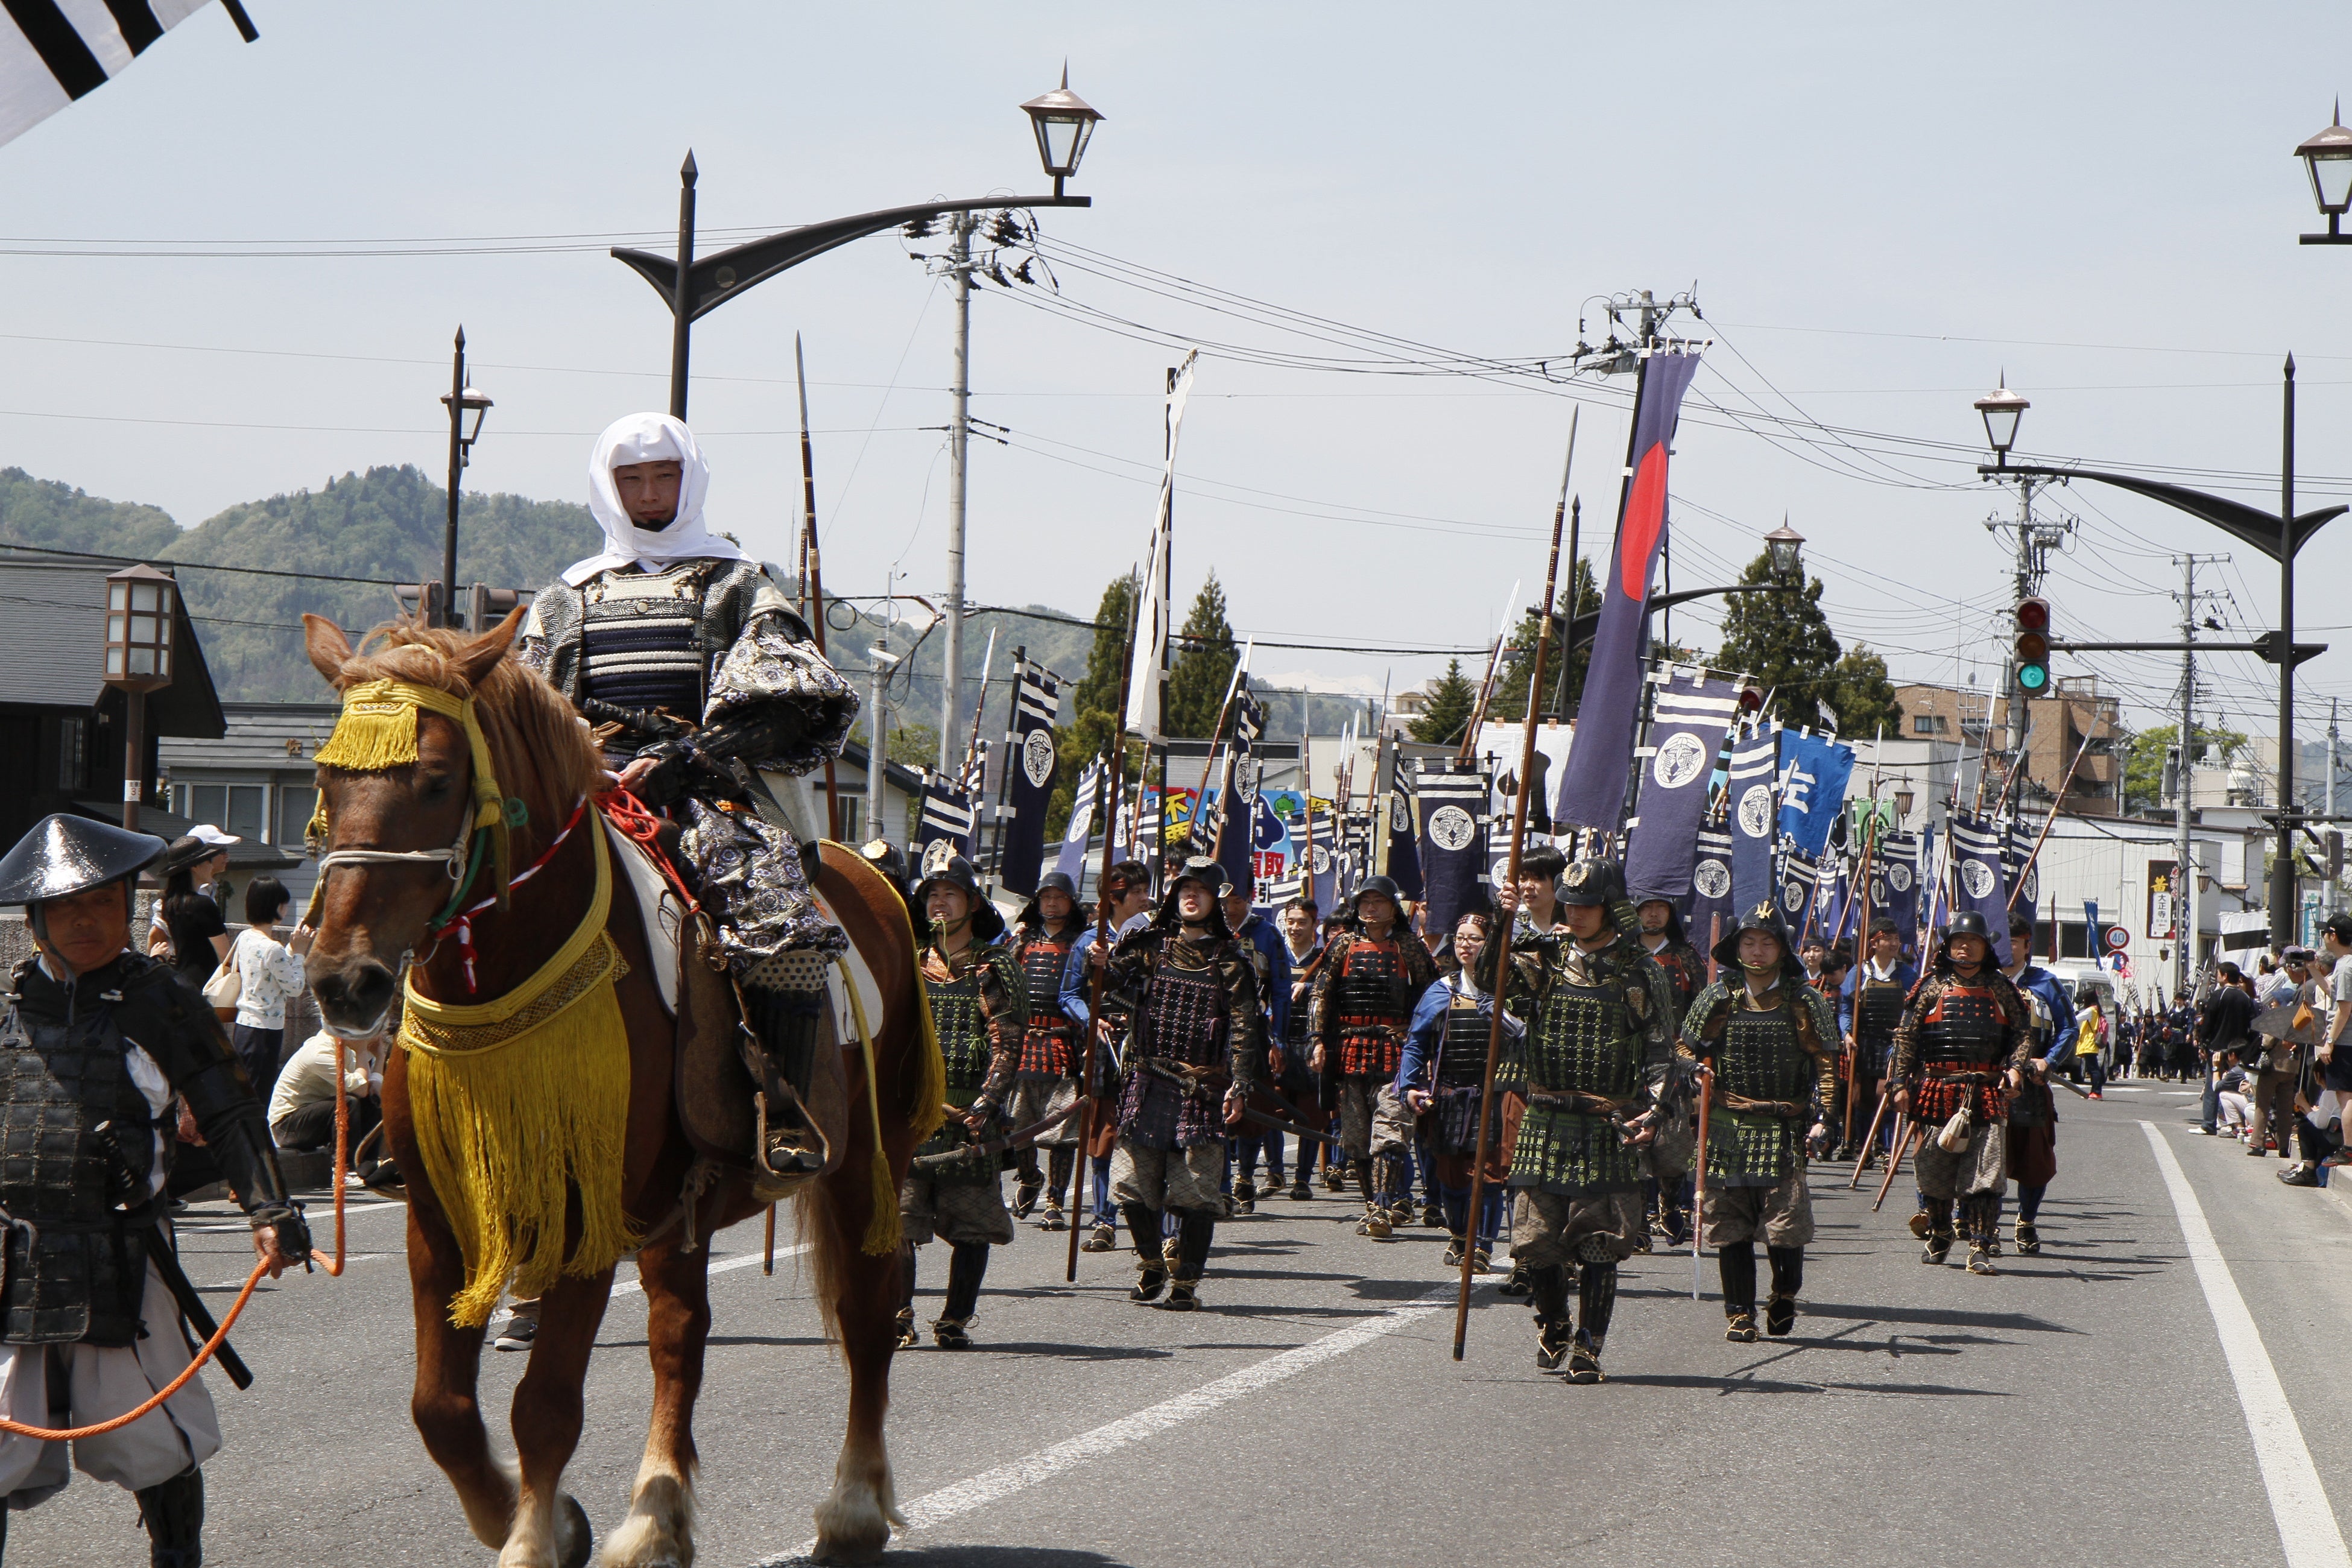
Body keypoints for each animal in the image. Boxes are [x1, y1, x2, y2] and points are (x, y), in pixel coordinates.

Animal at [299, 610, 927, 1567]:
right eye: (329, 777)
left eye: (437, 779)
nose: (345, 980)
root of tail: (875, 881)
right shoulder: (440, 1214)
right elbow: (440, 1407)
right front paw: (537, 1516)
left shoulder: (585, 1211)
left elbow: (545, 1405)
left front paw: (530, 1539)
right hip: (683, 1202)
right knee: (681, 1334)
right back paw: (654, 1515)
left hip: (866, 1156)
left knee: (865, 1312)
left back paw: (852, 1506)